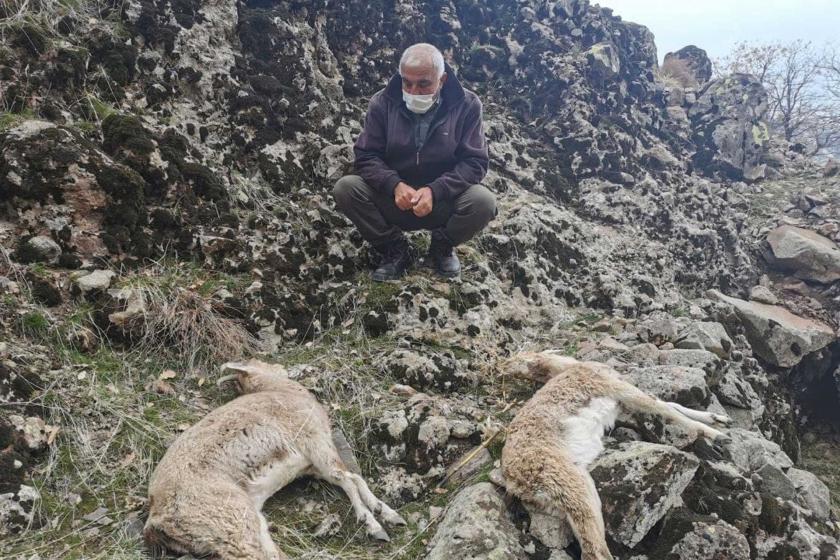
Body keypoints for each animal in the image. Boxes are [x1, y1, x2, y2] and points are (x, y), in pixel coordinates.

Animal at [144, 358, 406, 560]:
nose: (280, 365)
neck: (282, 391)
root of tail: (158, 520)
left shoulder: (310, 465)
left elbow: (350, 478)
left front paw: (386, 511)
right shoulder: (315, 441)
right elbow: (348, 479)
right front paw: (372, 523)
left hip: (243, 526)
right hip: (232, 518)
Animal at [502, 352, 732, 556]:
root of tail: (516, 481)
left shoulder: (622, 405)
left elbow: (666, 405)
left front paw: (719, 421)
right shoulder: (618, 390)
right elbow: (665, 409)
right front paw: (718, 436)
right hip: (572, 487)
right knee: (595, 551)